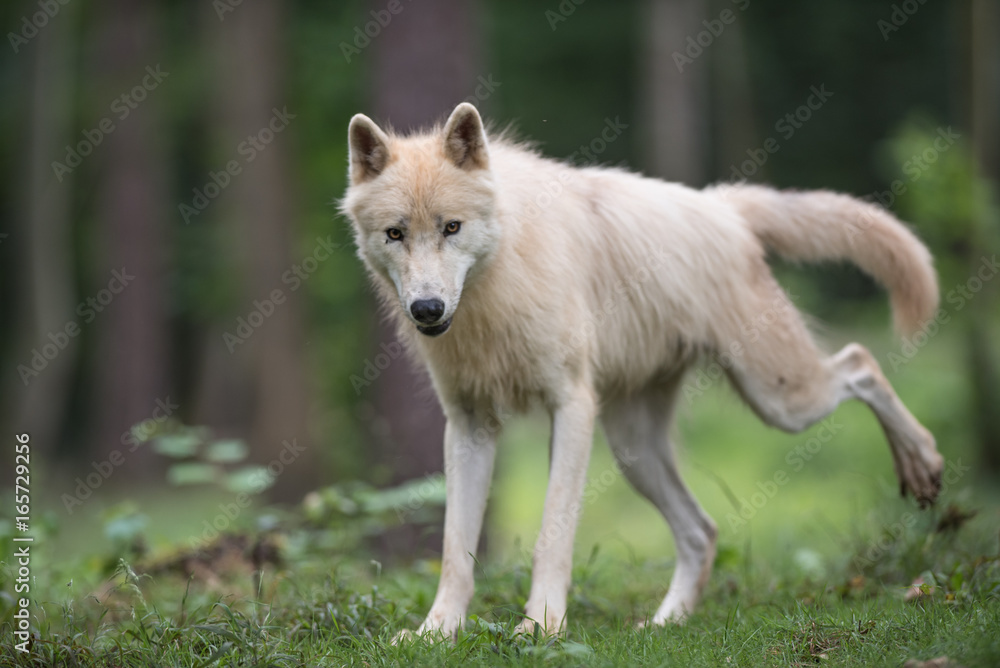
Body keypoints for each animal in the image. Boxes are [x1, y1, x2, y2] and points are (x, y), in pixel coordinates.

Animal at [340, 102, 943, 637]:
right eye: (396, 233)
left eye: (451, 228)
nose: (427, 309)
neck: (497, 284)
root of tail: (722, 205)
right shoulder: (468, 426)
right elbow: (454, 550)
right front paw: (436, 632)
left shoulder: (572, 406)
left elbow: (552, 534)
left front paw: (541, 628)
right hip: (635, 450)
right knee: (702, 531)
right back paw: (661, 625)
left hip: (780, 399)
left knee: (861, 363)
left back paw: (923, 463)